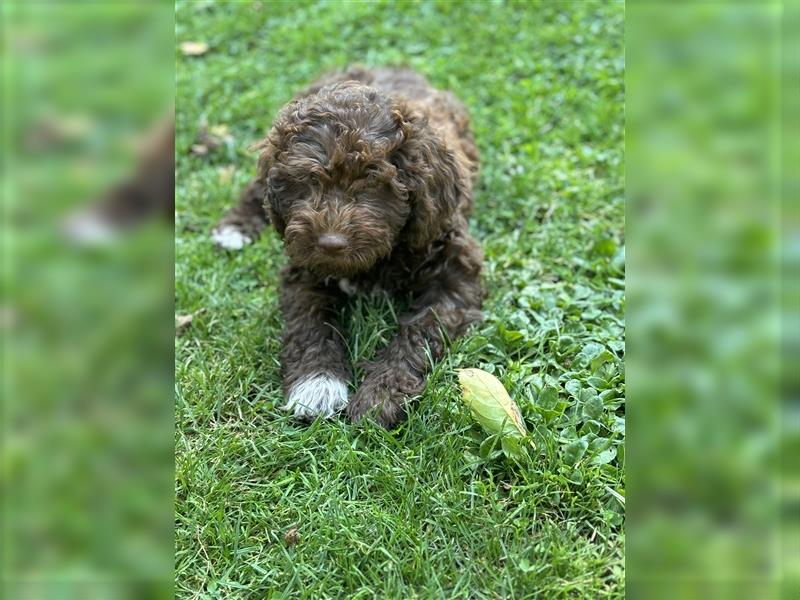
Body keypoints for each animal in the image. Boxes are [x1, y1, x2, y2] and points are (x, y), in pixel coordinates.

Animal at [214, 67, 482, 426]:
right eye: (308, 182)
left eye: (372, 184)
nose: (330, 244)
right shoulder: (303, 268)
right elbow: (311, 321)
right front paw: (316, 384)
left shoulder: (453, 273)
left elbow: (421, 328)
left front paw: (381, 394)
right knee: (256, 187)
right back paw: (234, 228)